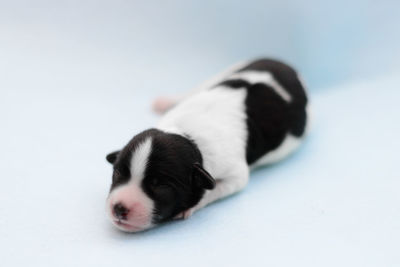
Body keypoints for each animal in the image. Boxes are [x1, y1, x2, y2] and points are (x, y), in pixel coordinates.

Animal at [105, 58, 310, 232]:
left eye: (160, 186)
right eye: (118, 173)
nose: (119, 208)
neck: (187, 133)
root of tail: (285, 65)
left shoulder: (236, 175)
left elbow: (213, 189)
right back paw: (166, 101)